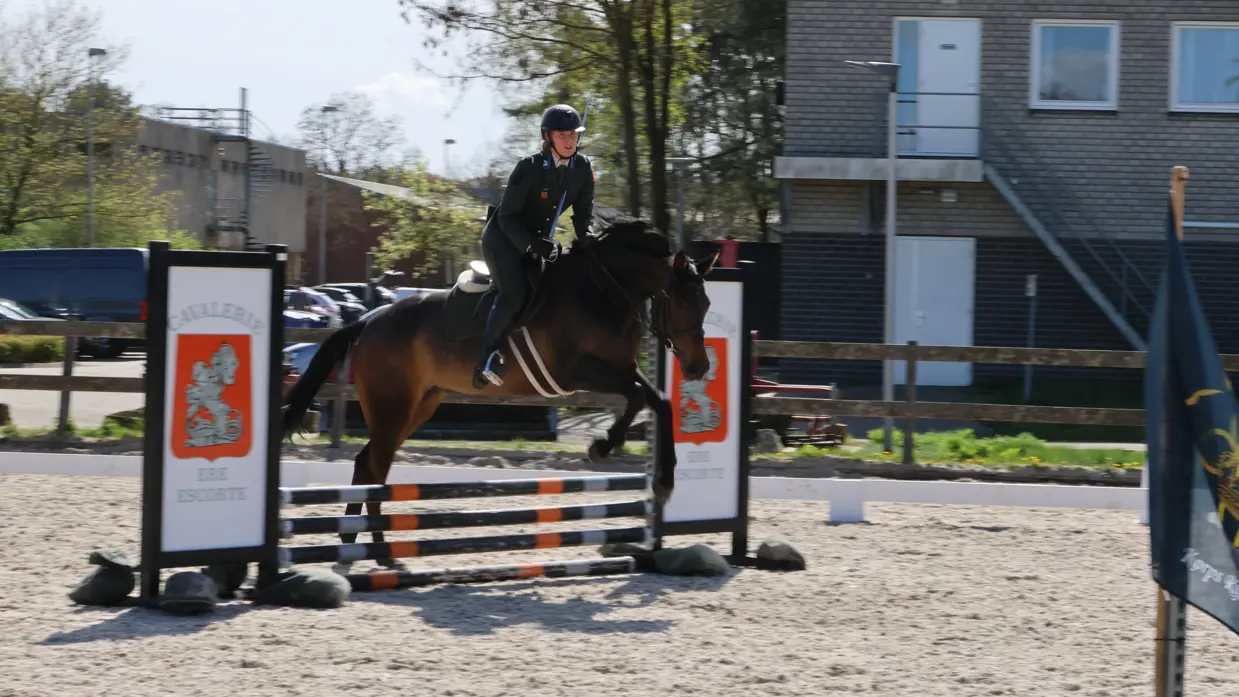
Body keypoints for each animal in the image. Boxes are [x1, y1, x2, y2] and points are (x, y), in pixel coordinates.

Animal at [280, 215, 720, 571]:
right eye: (682, 301)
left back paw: (355, 540)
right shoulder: (577, 371)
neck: (605, 289)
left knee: (368, 464)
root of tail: (369, 320)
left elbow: (658, 401)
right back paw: (378, 548)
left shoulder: (621, 370)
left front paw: (659, 479)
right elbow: (637, 399)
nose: (698, 367)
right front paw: (604, 447)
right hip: (393, 408)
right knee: (374, 466)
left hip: (419, 406)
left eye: (706, 303)